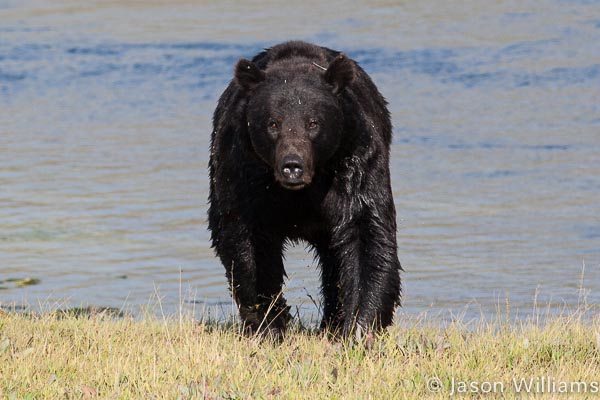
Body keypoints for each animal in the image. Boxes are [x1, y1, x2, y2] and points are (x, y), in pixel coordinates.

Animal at [209, 40, 400, 340]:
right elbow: (246, 241)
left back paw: (332, 323)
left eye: (313, 122)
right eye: (273, 123)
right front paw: (269, 323)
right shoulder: (243, 170)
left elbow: (366, 230)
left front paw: (359, 326)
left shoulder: (356, 160)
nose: (292, 166)